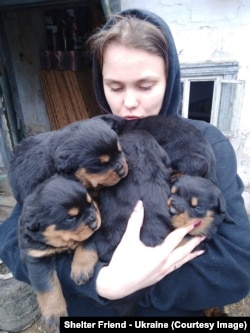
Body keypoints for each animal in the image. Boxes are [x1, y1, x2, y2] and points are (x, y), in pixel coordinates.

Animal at [18, 175, 101, 330]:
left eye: (91, 203)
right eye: (70, 218)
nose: (94, 218)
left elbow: (85, 242)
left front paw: (81, 267)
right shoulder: (37, 257)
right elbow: (48, 287)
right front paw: (54, 314)